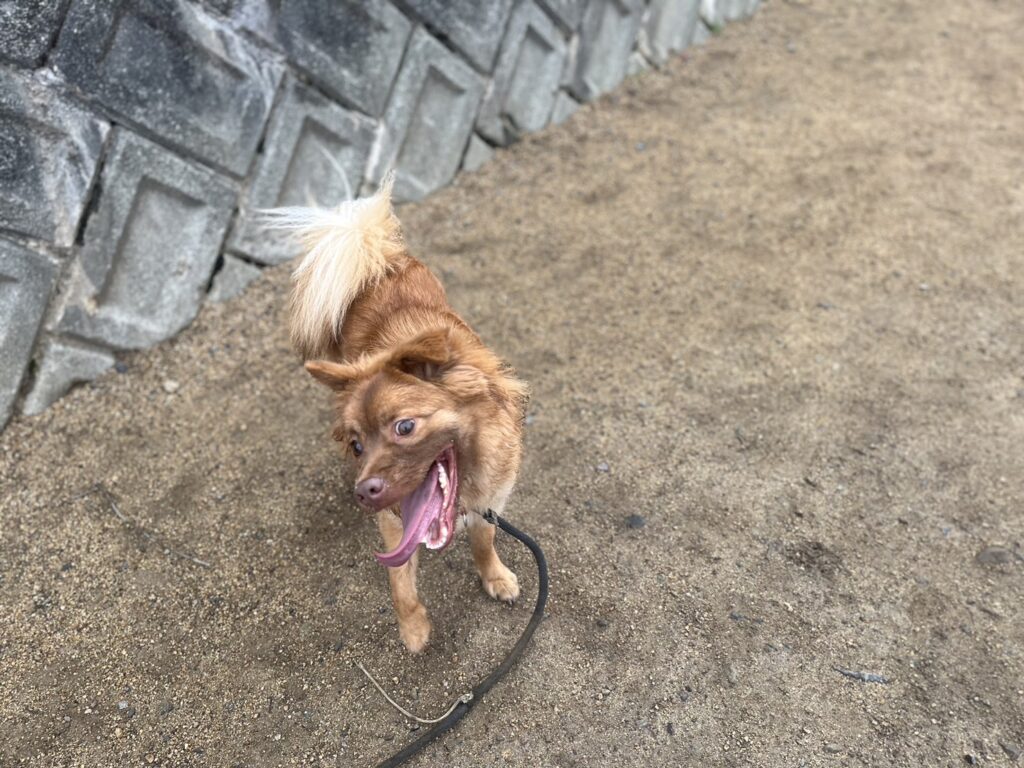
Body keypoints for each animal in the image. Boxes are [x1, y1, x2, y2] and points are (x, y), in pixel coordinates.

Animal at [266, 176, 528, 652]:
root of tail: (374, 253)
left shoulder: (489, 501)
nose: (363, 492)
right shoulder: (393, 521)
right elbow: (400, 583)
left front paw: (495, 577)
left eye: (405, 427)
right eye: (356, 445)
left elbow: (484, 542)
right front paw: (414, 628)